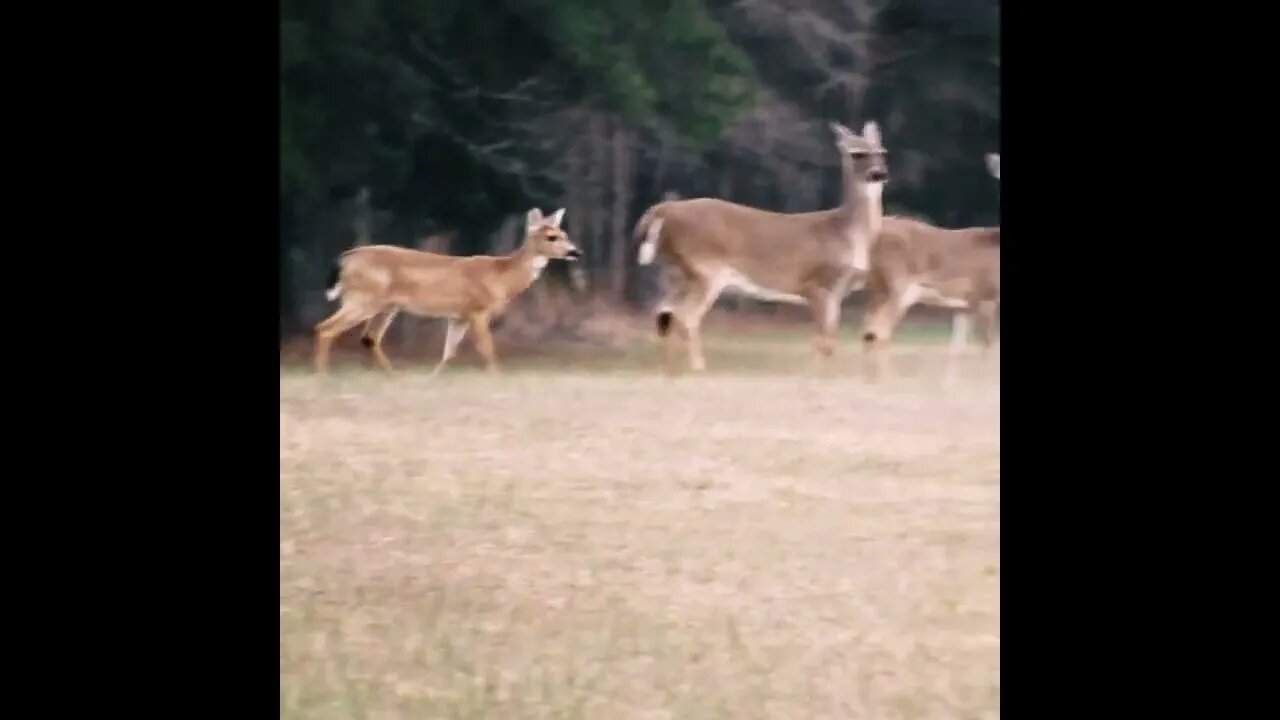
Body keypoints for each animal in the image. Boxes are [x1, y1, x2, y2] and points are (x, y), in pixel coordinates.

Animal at [316, 206, 586, 376]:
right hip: (363, 299)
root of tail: (344, 258)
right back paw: (323, 378)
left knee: (369, 338)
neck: (500, 275)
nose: (575, 252)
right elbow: (487, 349)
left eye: (564, 233)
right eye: (551, 237)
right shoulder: (478, 309)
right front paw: (498, 379)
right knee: (326, 328)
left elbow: (449, 352)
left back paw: (394, 378)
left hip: (385, 305)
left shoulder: (458, 317)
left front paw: (431, 380)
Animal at [632, 118, 890, 371]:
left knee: (663, 313)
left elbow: (825, 340)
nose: (879, 173)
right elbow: (824, 341)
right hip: (705, 270)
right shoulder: (820, 284)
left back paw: (670, 371)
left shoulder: (834, 292)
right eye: (857, 153)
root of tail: (663, 210)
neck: (847, 232)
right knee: (686, 317)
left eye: (881, 151)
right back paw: (699, 368)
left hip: (678, 272)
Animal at [860, 151, 998, 376]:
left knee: (868, 331)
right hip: (898, 286)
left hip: (877, 287)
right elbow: (988, 345)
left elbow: (957, 348)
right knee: (879, 331)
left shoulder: (965, 304)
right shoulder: (987, 295)